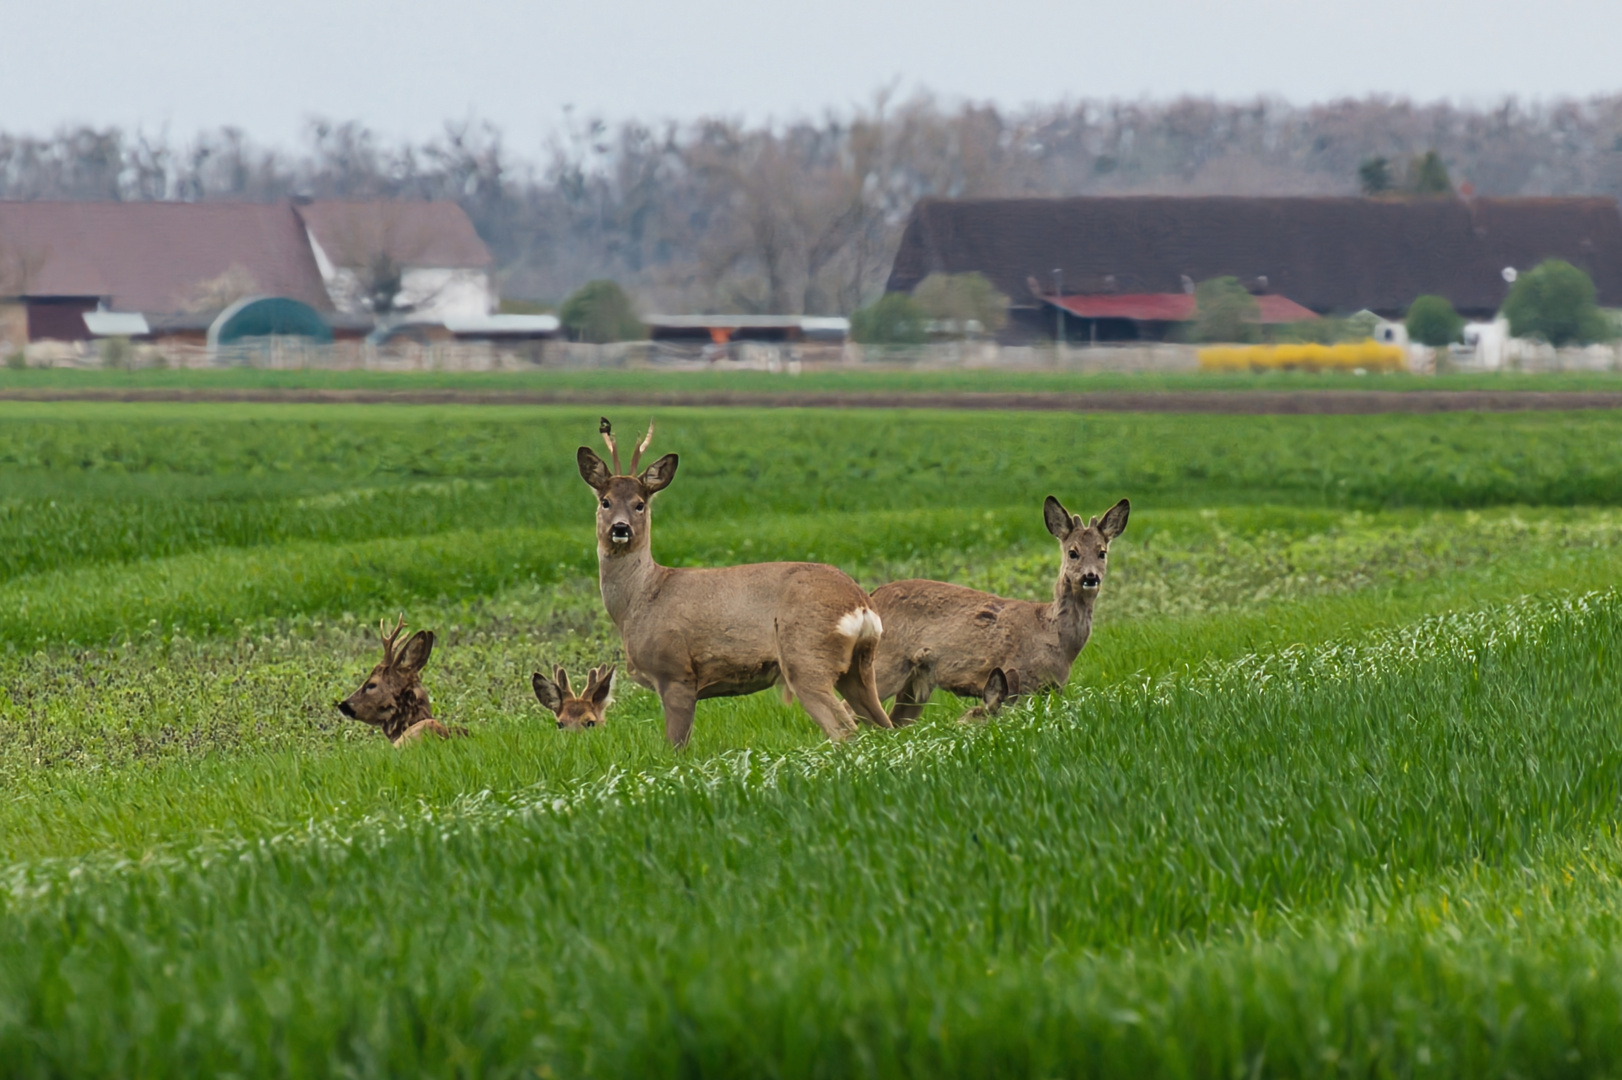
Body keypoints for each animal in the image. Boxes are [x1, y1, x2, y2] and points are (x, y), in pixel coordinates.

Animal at [580, 415, 895, 745]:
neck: (640, 599)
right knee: (885, 725)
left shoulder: (676, 672)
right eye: (605, 501)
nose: (620, 528)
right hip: (861, 667)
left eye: (640, 503)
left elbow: (676, 746)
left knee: (844, 729)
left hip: (807, 655)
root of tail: (861, 604)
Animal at [875, 496, 1128, 723]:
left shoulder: (1054, 687)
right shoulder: (1019, 676)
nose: (1090, 577)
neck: (1052, 634)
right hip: (885, 662)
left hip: (915, 683)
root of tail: (873, 595)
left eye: (1102, 552)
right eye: (1073, 552)